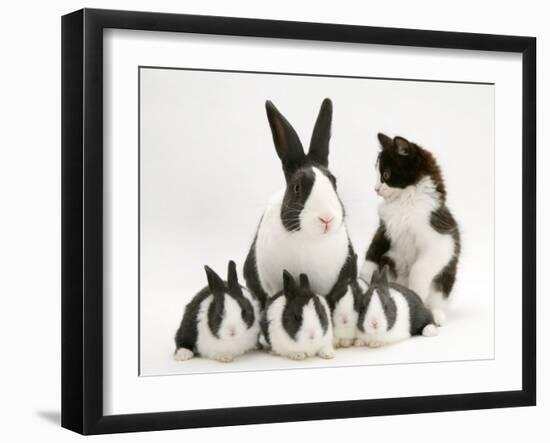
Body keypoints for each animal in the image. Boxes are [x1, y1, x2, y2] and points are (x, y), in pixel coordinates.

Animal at [362, 133, 462, 326]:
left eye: (386, 175)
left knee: (439, 296)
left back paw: (436, 315)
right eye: (377, 175)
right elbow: (372, 255)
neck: (405, 202)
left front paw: (416, 293)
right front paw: (364, 282)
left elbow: (419, 269)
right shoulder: (383, 230)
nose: (376, 188)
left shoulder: (441, 240)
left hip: (445, 278)